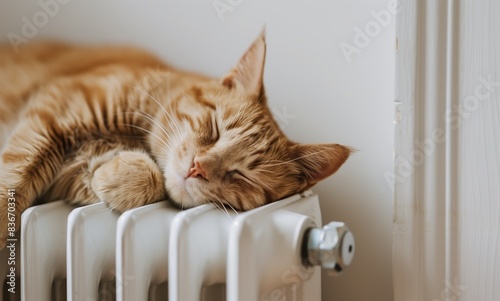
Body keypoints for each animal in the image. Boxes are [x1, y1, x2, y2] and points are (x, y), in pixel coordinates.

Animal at [0, 32, 352, 248]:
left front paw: (113, 178)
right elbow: (13, 186)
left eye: (242, 175)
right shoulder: (54, 111)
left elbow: (144, 178)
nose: (198, 167)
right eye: (214, 129)